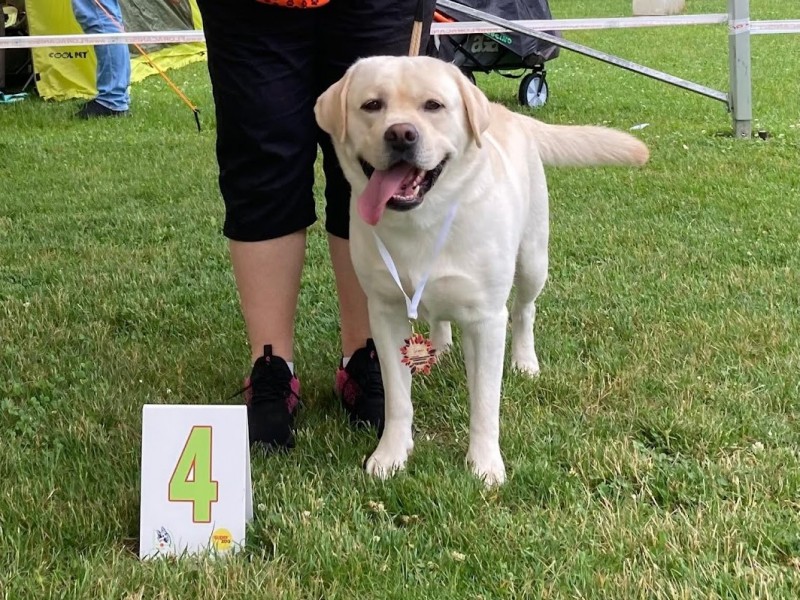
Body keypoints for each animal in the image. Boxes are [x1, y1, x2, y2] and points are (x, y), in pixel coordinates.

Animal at [315, 55, 648, 486]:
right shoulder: (385, 313)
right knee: (439, 316)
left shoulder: (487, 319)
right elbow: (398, 399)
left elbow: (486, 402)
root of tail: (512, 115)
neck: (422, 224)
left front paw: (485, 464)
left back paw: (525, 360)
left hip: (533, 260)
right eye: (372, 105)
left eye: (433, 106)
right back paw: (439, 348)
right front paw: (391, 455)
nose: (401, 134)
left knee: (525, 310)